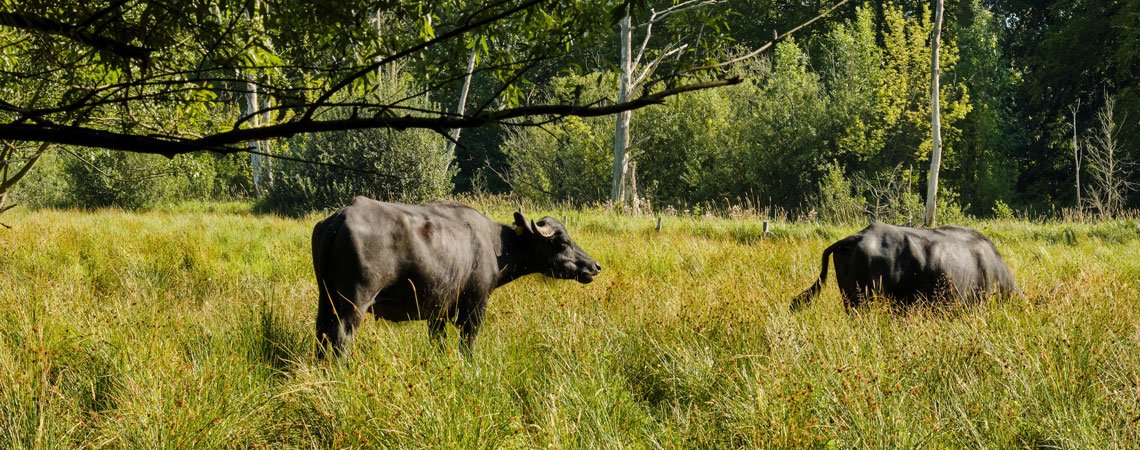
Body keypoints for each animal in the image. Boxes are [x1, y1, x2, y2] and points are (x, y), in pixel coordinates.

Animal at [307, 198, 601, 360]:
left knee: (322, 334)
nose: (594, 266)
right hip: (354, 303)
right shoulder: (475, 306)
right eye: (562, 242)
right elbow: (467, 344)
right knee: (341, 337)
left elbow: (438, 344)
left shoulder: (437, 312)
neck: (494, 245)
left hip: (326, 299)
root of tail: (340, 218)